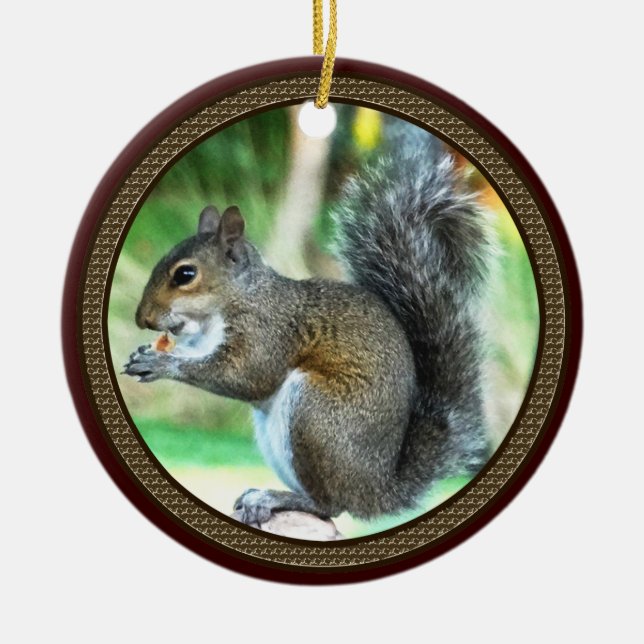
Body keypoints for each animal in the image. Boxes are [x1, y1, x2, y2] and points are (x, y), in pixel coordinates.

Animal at [124, 125, 495, 526]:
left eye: (185, 274)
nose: (142, 318)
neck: (235, 301)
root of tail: (377, 491)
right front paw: (144, 354)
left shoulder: (268, 330)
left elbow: (247, 375)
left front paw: (162, 363)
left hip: (315, 414)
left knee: (329, 505)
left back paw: (277, 498)